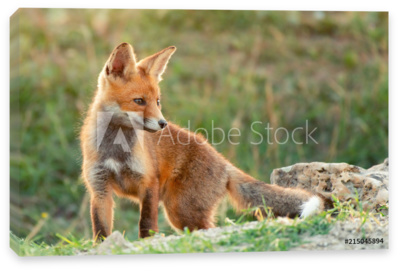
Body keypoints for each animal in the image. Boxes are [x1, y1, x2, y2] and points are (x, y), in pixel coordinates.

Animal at [79, 42, 330, 240]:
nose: (163, 124)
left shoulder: (149, 182)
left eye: (157, 101)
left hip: (181, 210)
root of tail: (223, 162)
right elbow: (100, 229)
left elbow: (146, 224)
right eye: (139, 101)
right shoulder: (99, 187)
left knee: (209, 229)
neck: (116, 150)